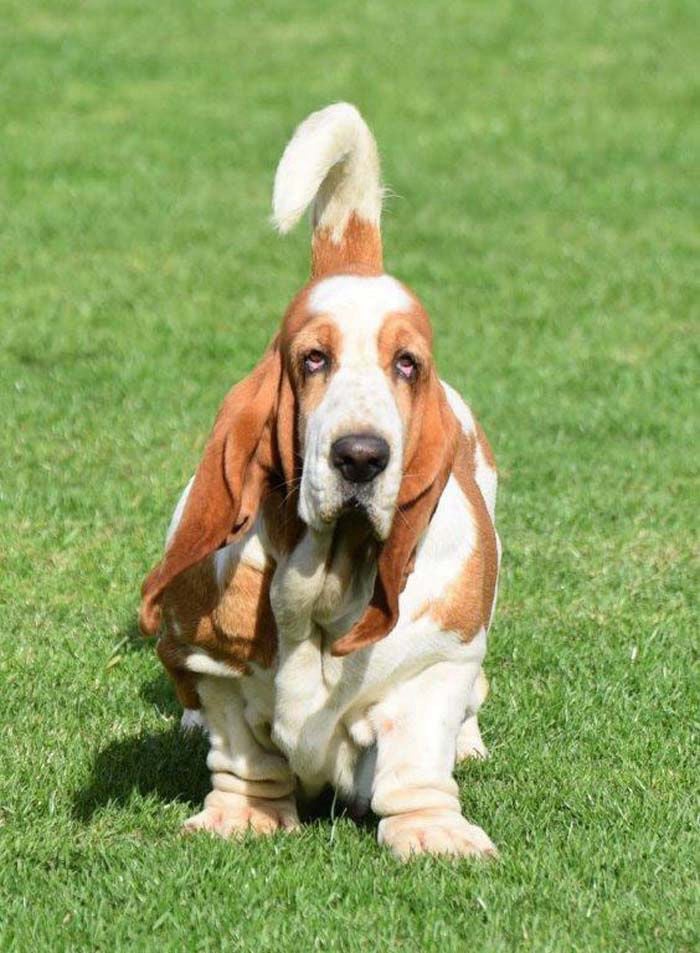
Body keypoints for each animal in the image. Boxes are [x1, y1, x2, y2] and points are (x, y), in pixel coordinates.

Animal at [140, 103, 500, 860]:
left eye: (406, 364)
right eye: (313, 359)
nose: (360, 457)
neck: (329, 576)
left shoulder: (434, 666)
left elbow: (416, 759)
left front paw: (433, 833)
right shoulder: (219, 676)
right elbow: (242, 752)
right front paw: (242, 817)